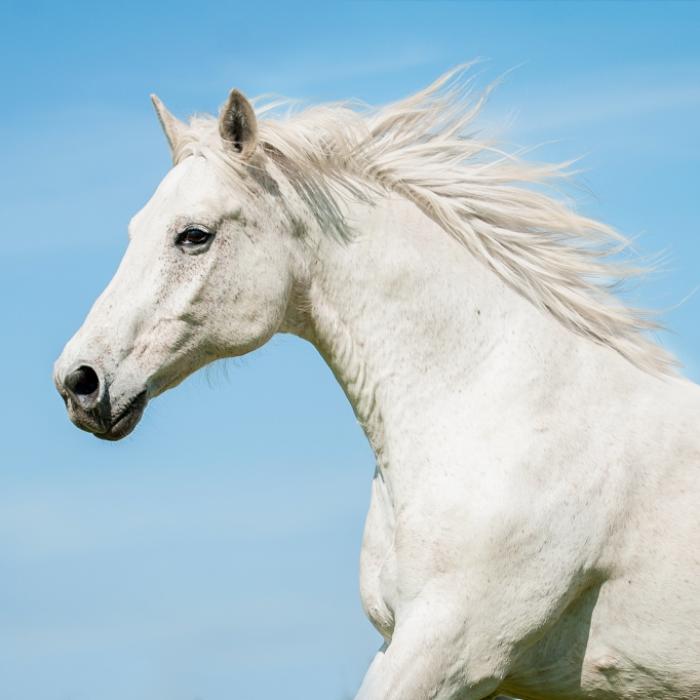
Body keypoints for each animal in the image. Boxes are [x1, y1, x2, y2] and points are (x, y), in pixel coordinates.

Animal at [54, 67, 700, 699]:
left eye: (193, 235)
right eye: (136, 229)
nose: (78, 382)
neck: (494, 406)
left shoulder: (453, 650)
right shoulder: (406, 645)